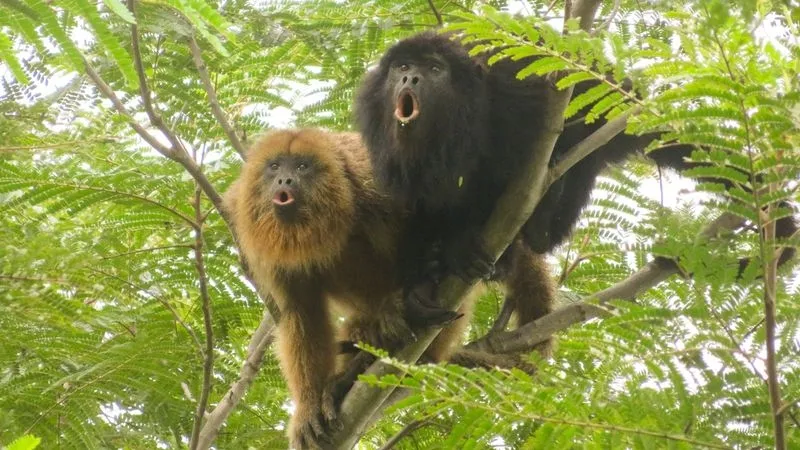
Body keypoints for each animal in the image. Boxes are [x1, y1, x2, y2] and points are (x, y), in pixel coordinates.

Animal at [224, 129, 482, 449]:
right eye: (274, 166)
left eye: (302, 166)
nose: (284, 180)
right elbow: (301, 313)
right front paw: (308, 407)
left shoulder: (367, 175)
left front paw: (418, 287)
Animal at [355, 31, 797, 330]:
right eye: (402, 67)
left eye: (434, 69)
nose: (410, 80)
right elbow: (419, 201)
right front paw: (419, 276)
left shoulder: (511, 87)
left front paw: (463, 245)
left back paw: (527, 232)